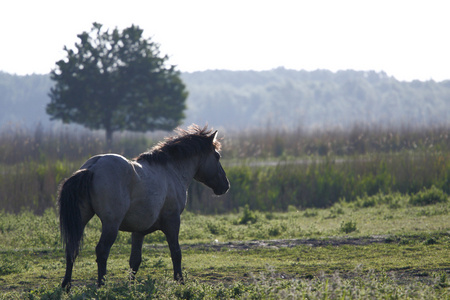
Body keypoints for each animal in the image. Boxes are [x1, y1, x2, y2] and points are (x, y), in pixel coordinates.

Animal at [57, 124, 229, 288]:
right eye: (217, 156)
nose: (226, 185)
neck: (171, 171)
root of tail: (92, 167)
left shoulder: (138, 231)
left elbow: (135, 260)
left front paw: (131, 286)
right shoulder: (172, 221)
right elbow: (176, 253)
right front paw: (180, 282)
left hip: (81, 218)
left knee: (71, 249)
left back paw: (66, 285)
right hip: (111, 224)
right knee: (102, 251)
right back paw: (101, 285)